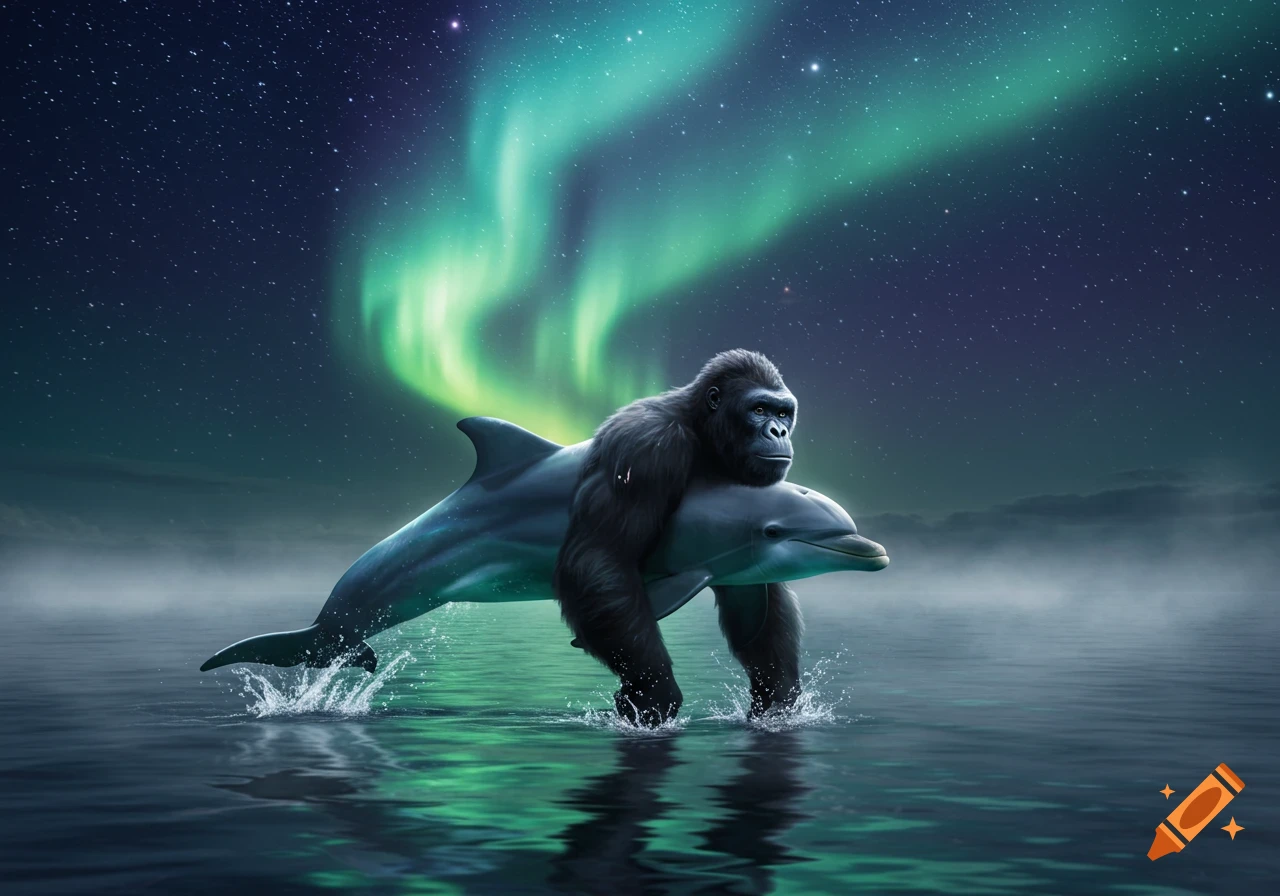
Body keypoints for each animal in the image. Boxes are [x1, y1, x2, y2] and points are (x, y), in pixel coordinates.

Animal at [553, 349, 800, 726]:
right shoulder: (645, 448)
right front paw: (653, 687)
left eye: (783, 412)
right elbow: (602, 556)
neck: (701, 429)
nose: (779, 430)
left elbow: (758, 586)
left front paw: (778, 690)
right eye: (759, 409)